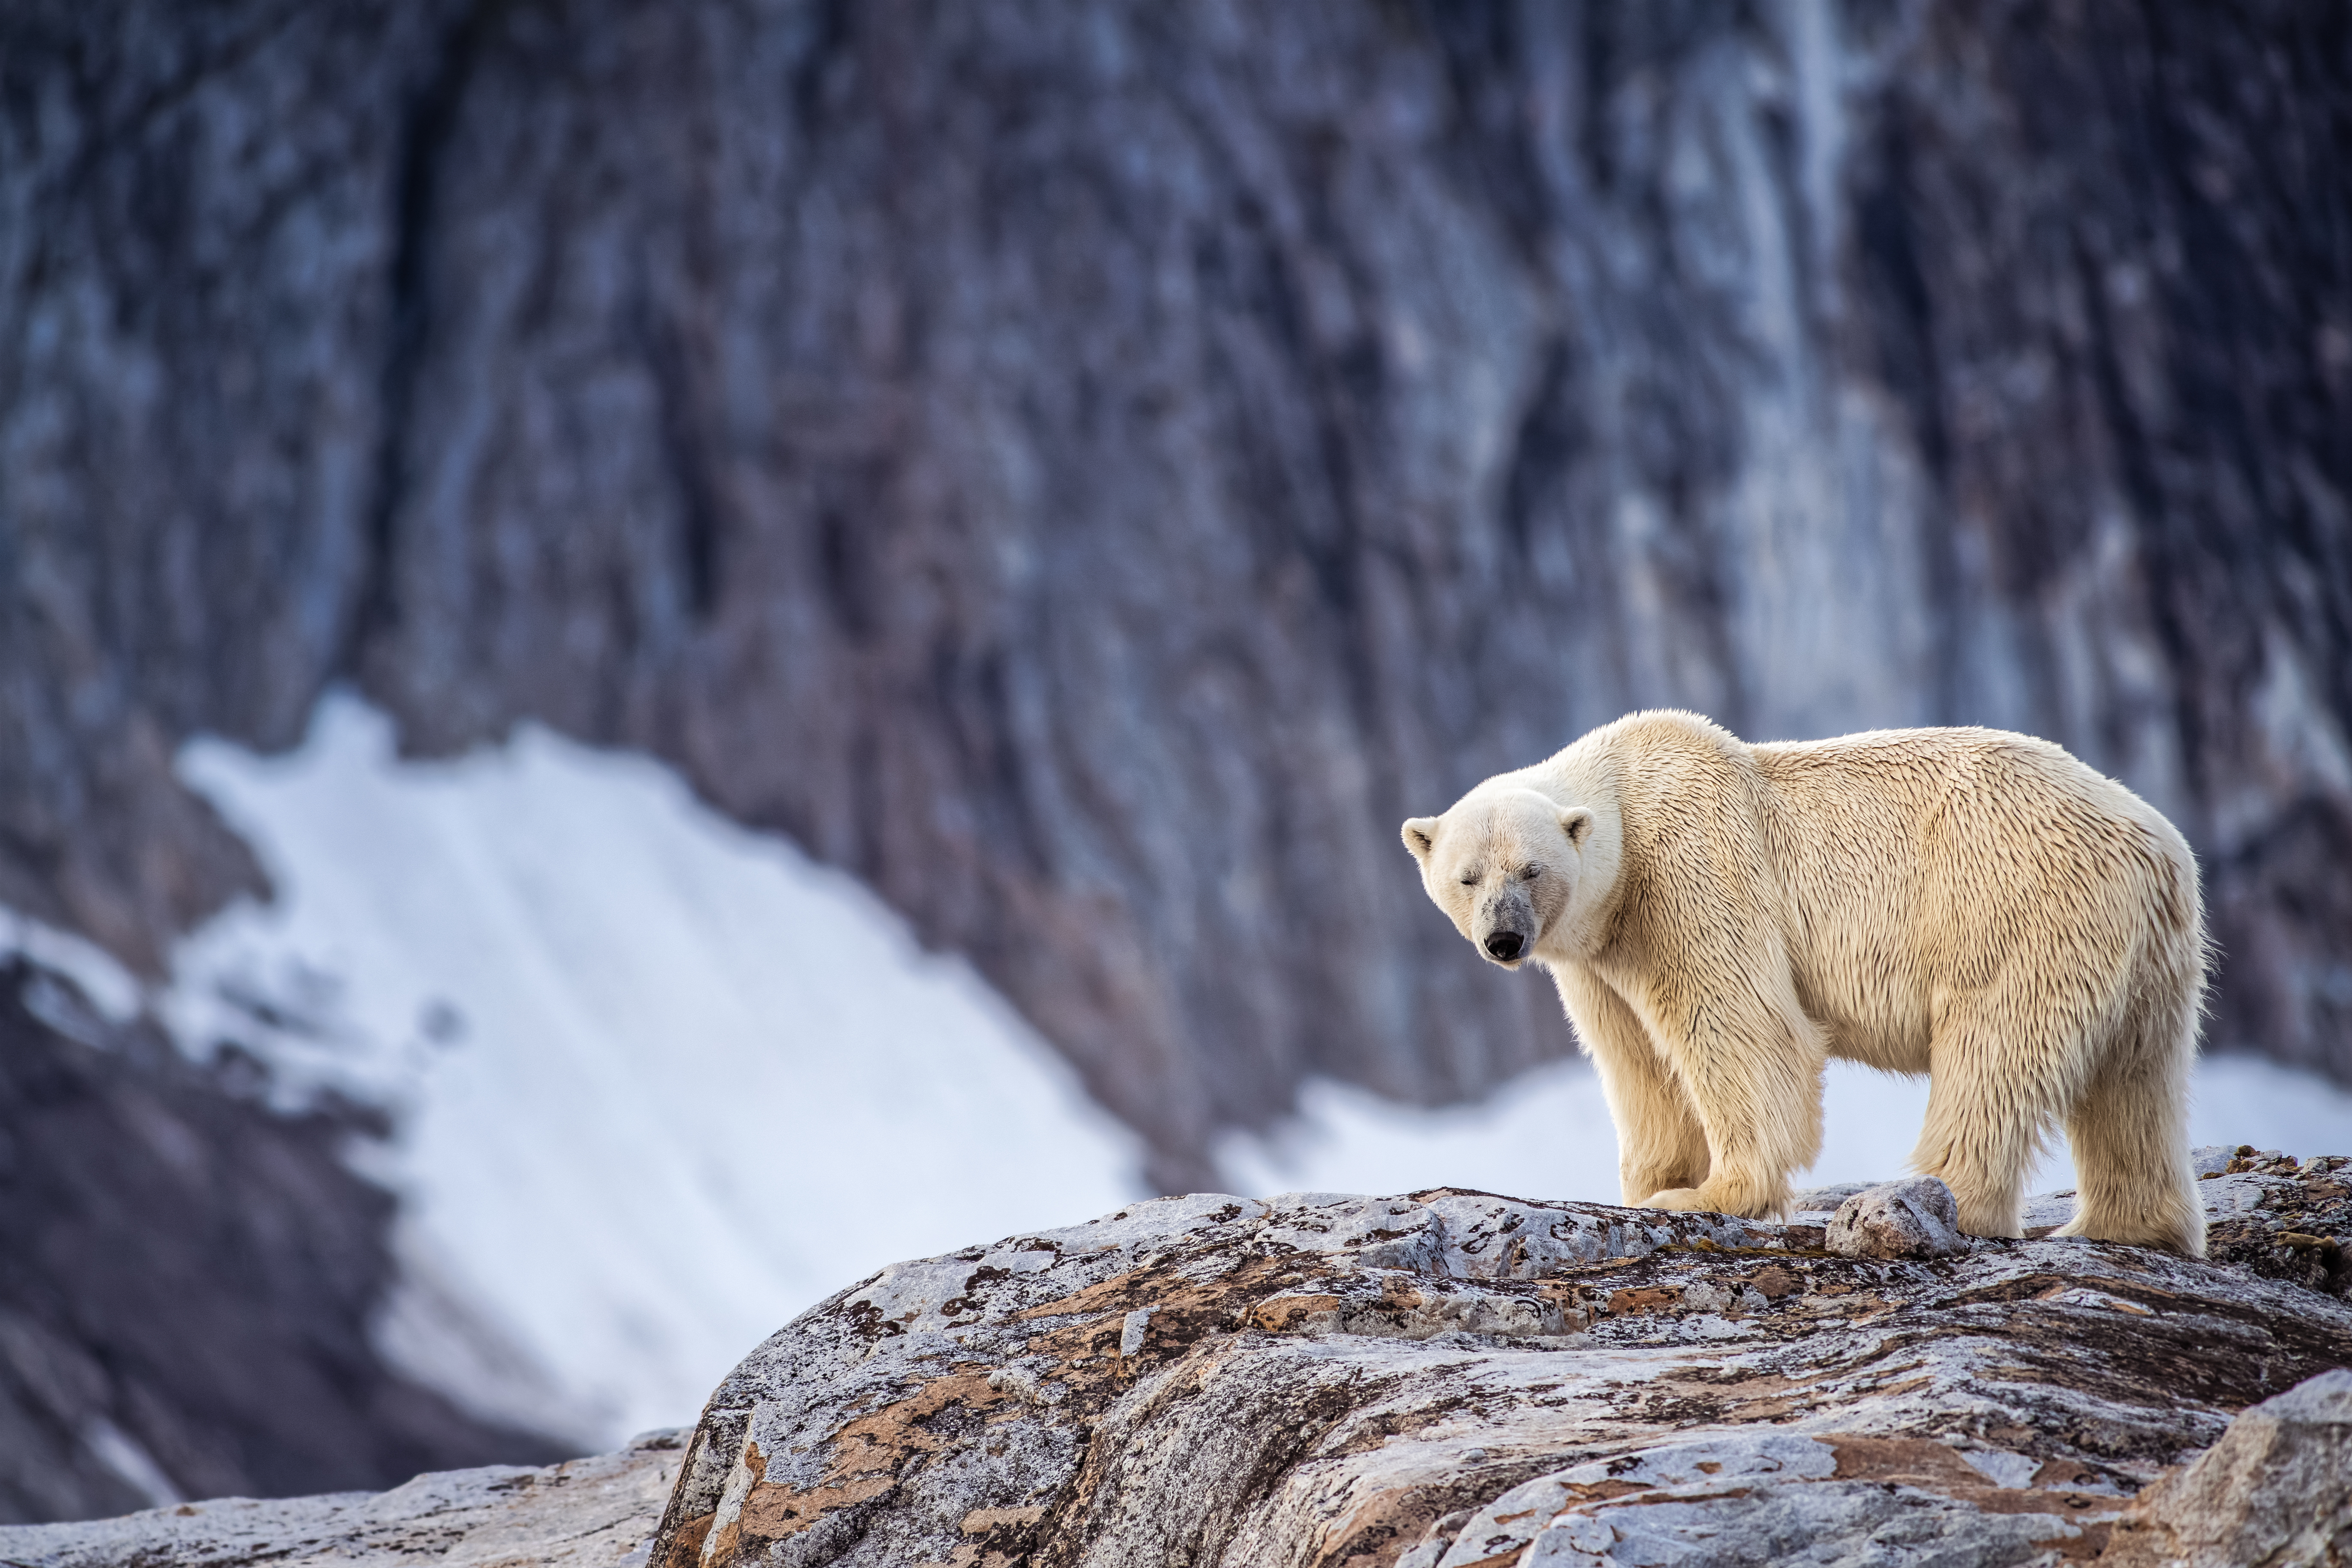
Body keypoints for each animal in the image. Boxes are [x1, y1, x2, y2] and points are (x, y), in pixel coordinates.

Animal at [1401, 710, 2207, 1257]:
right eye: (1467, 875)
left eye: (1530, 869)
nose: (1504, 939)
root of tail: (2157, 848)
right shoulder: (1600, 954)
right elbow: (1637, 1062)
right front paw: (1648, 1186)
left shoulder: (1690, 868)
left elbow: (1743, 1027)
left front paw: (1707, 1193)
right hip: (2147, 955)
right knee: (2133, 1078)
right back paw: (2125, 1225)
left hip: (2013, 903)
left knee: (1995, 1048)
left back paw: (1932, 1201)